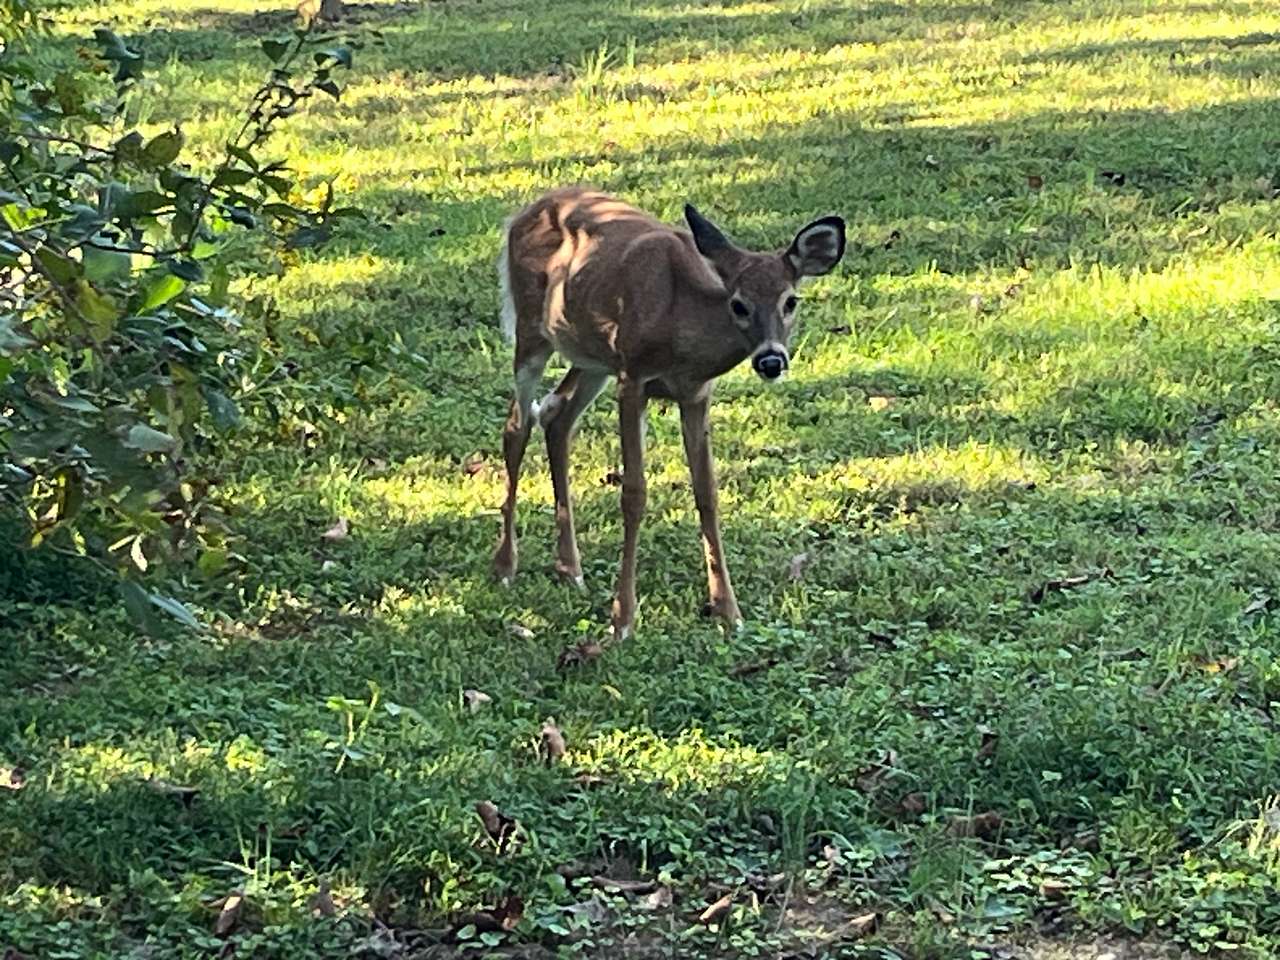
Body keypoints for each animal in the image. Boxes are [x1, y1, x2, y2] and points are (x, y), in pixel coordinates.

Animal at [492, 187, 846, 639]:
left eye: (791, 301)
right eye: (738, 304)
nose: (771, 361)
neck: (682, 329)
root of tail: (523, 212)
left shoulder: (695, 395)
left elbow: (707, 493)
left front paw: (728, 611)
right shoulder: (633, 378)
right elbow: (634, 493)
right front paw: (622, 618)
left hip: (592, 356)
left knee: (556, 414)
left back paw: (570, 568)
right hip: (532, 329)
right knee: (518, 423)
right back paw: (505, 566)